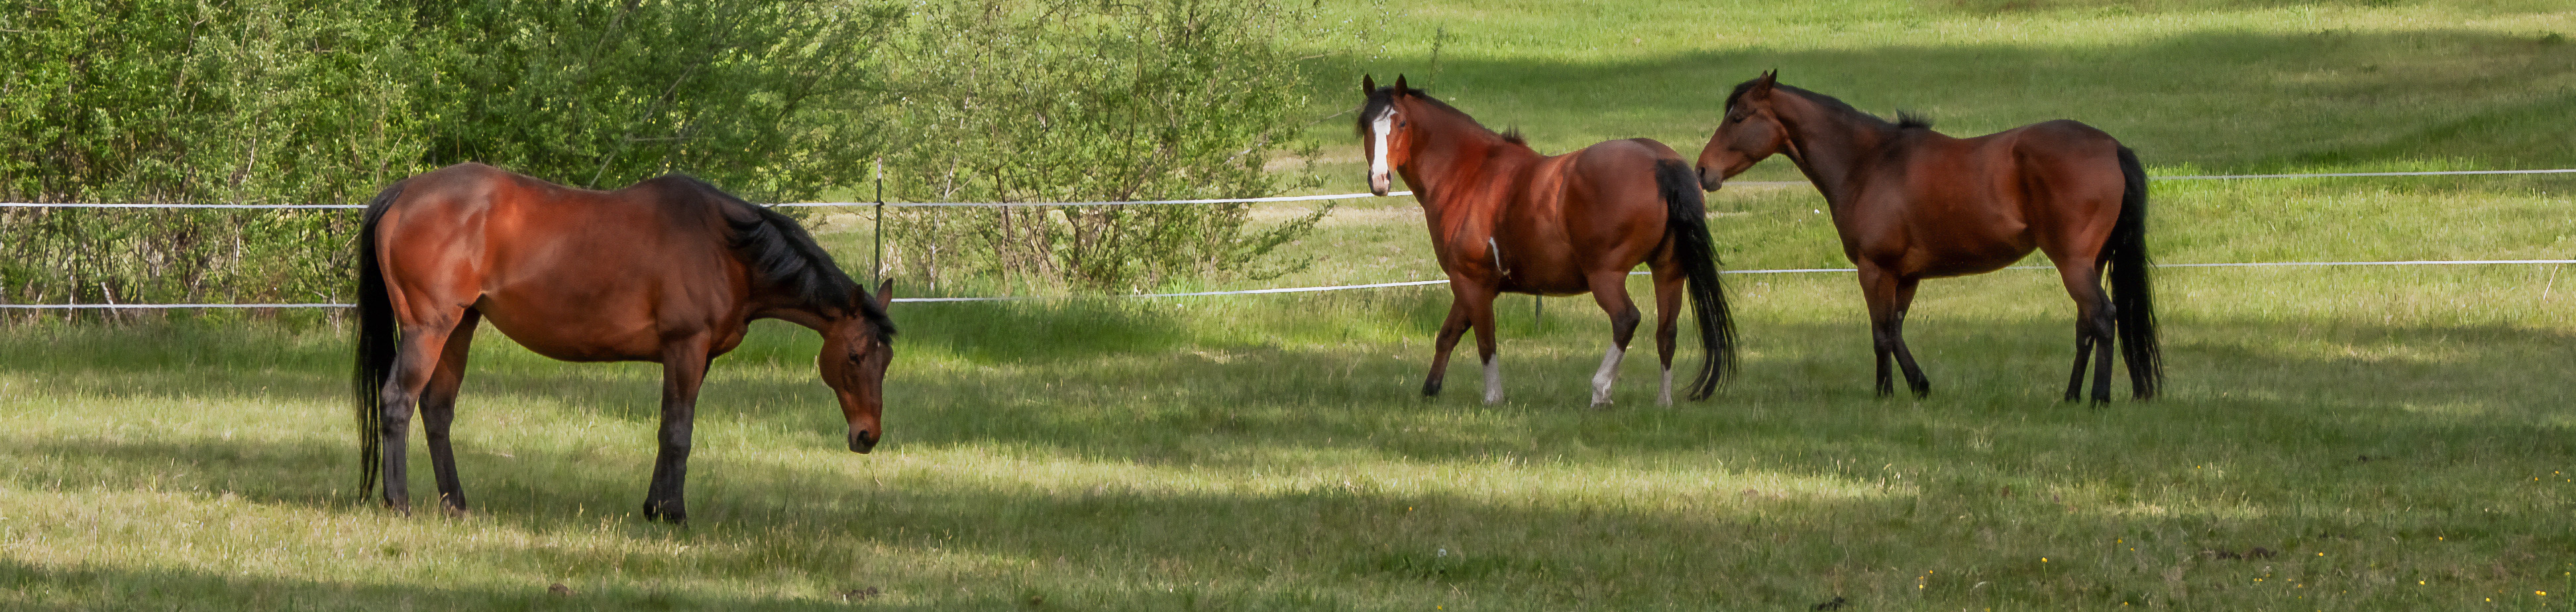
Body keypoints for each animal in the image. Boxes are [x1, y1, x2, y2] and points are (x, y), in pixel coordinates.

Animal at [352, 162, 896, 521]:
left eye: (886, 361)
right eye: (854, 356)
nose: (867, 435)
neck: (726, 247)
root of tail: (404, 192)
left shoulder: (696, 359)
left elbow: (669, 428)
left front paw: (654, 506)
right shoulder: (685, 348)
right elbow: (677, 433)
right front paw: (674, 514)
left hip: (460, 327)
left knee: (437, 411)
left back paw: (457, 505)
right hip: (429, 329)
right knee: (398, 401)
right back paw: (399, 503)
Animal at [1360, 75, 1741, 405]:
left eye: (1401, 124)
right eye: (1365, 124)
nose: (1379, 179)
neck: (1470, 173)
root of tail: (1661, 163)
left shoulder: (1471, 281)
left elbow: (1485, 341)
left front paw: (1492, 398)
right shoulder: (1474, 284)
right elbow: (1448, 334)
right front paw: (1431, 389)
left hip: (1606, 276)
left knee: (1626, 320)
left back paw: (1601, 391)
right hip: (1668, 271)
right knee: (1667, 332)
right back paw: (1663, 402)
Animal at [1690, 70, 2153, 402]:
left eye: (1738, 118)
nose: (1702, 171)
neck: (1869, 162)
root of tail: (2112, 147)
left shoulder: (1874, 270)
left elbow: (1880, 334)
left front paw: (1885, 393)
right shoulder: (1906, 276)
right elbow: (1896, 331)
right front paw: (1919, 386)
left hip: (2074, 264)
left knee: (2103, 318)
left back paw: (2098, 397)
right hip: (2090, 263)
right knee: (2085, 326)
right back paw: (2071, 396)